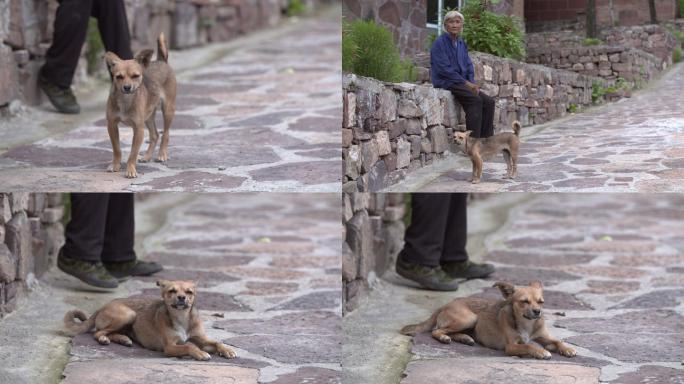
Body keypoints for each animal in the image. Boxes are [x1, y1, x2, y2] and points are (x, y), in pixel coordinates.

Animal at [63, 280, 238, 360]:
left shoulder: (201, 338)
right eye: (172, 291)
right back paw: (106, 339)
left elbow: (216, 342)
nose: (181, 298)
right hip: (128, 315)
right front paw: (200, 353)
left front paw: (226, 349)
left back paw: (123, 339)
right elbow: (189, 345)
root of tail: (103, 306)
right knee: (99, 332)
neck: (181, 318)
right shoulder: (170, 347)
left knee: (110, 332)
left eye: (189, 292)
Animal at [103, 33, 176, 178]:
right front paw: (115, 165)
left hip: (167, 110)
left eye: (135, 76)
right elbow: (117, 149)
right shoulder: (112, 125)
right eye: (118, 77)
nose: (127, 87)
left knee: (165, 134)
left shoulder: (138, 129)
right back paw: (147, 156)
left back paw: (162, 154)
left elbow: (133, 153)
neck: (125, 100)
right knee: (155, 135)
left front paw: (130, 169)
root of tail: (161, 60)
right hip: (148, 116)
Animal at [400, 282, 576, 360]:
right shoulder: (511, 347)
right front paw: (541, 352)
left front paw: (567, 349)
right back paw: (445, 337)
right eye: (524, 302)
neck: (527, 324)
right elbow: (528, 345)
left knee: (451, 331)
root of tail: (445, 304)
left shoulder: (544, 337)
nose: (537, 312)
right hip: (470, 318)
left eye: (541, 302)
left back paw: (465, 338)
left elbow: (557, 341)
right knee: (437, 330)